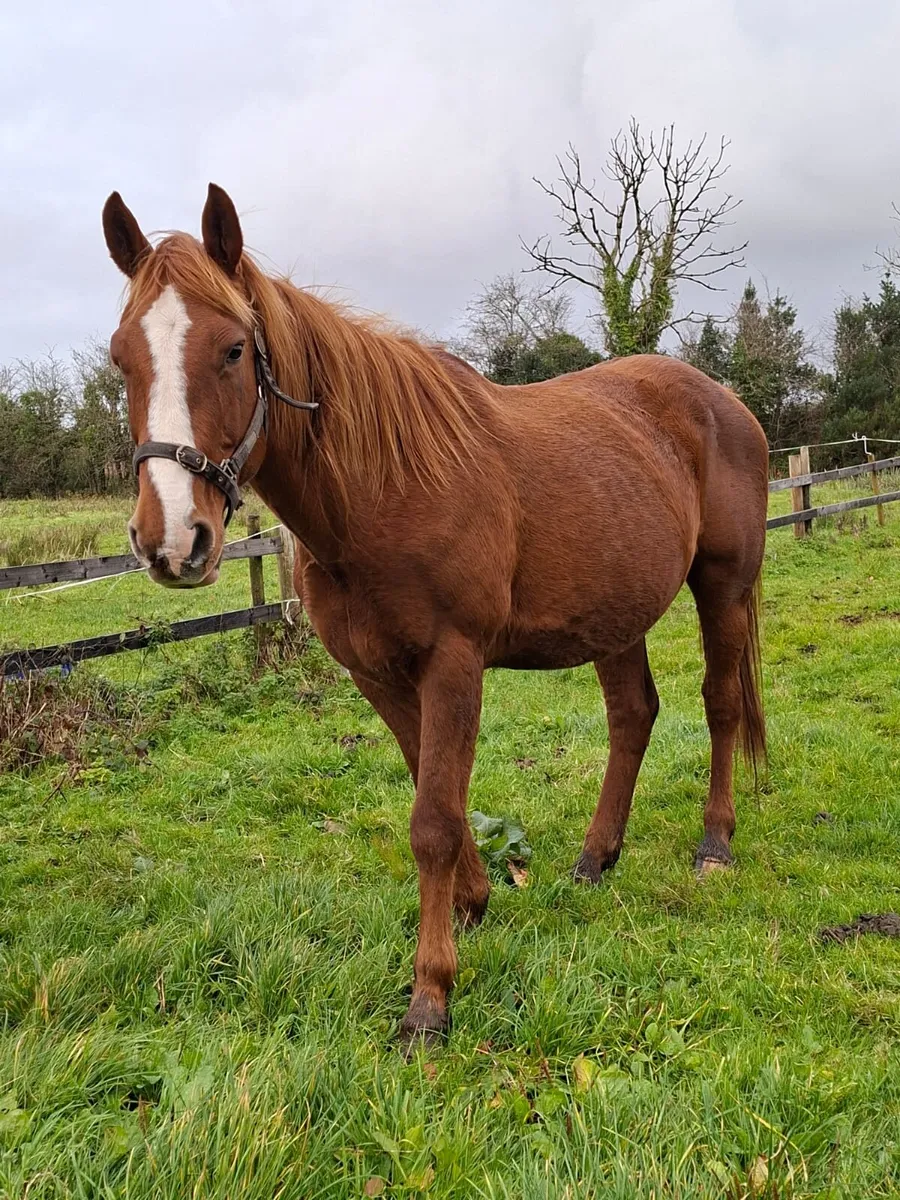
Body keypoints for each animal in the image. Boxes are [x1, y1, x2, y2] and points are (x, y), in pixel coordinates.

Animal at [102, 183, 768, 1045]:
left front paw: (431, 996)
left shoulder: (454, 662)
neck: (380, 491)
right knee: (633, 716)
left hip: (722, 587)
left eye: (234, 350)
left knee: (720, 706)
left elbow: (435, 822)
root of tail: (726, 403)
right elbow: (433, 789)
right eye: (122, 357)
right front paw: (475, 902)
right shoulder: (378, 673)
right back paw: (595, 858)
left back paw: (714, 842)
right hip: (615, 614)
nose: (173, 539)